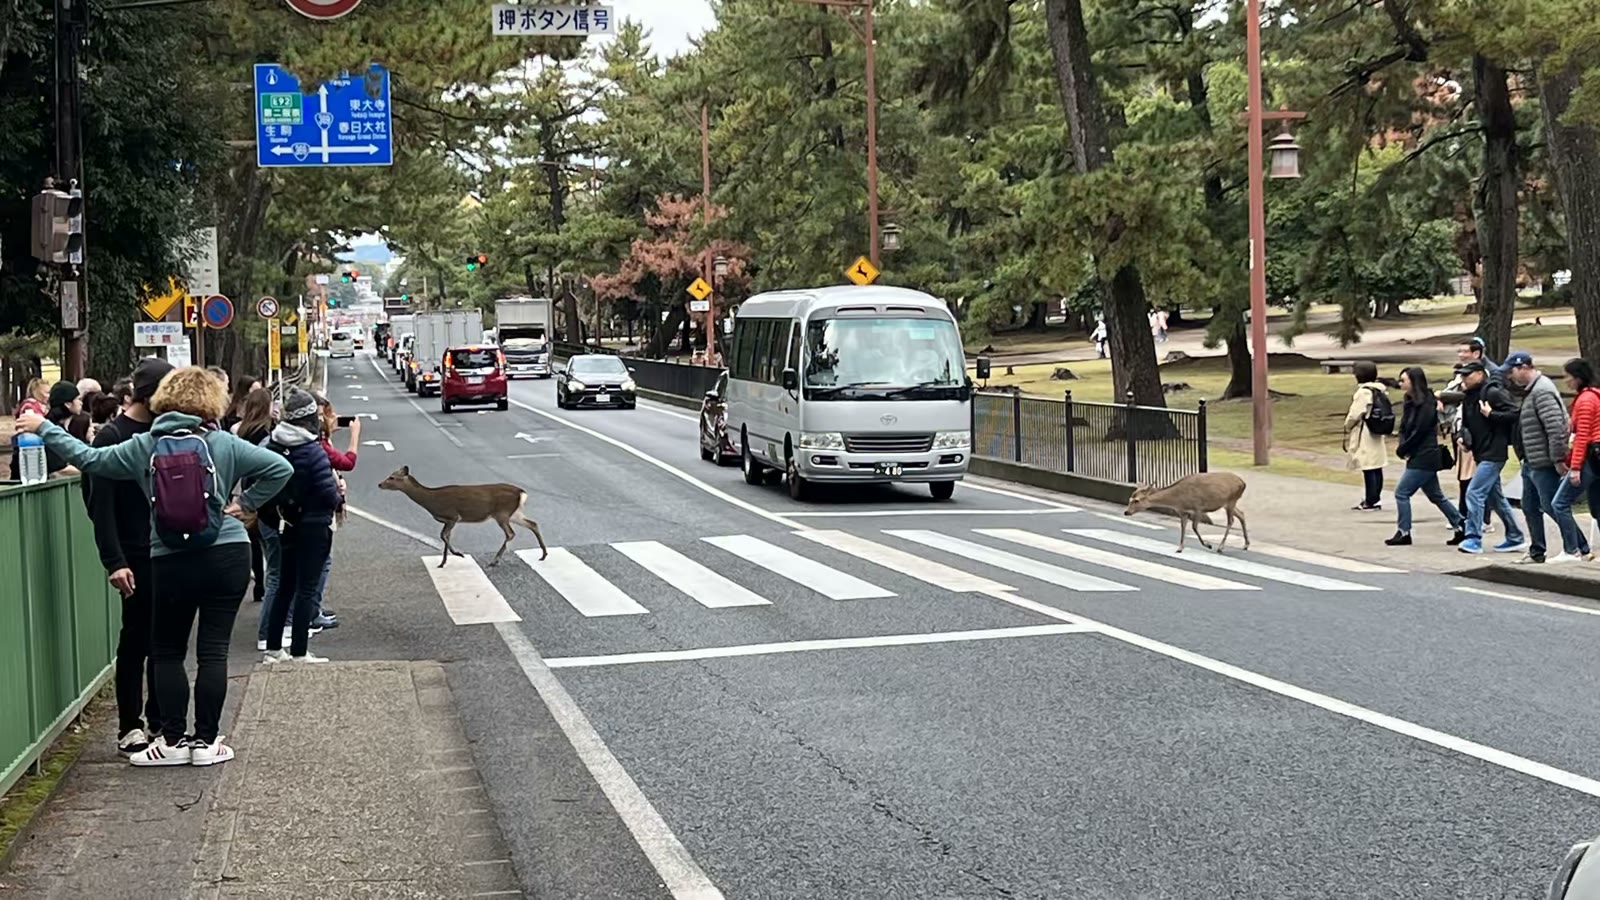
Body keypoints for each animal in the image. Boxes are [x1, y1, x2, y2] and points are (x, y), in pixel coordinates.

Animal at [379, 466, 549, 568]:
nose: (380, 484)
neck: (431, 501)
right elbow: (445, 536)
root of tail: (522, 492)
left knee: (511, 533)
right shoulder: (448, 520)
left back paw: (494, 561)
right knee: (533, 523)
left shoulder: (453, 516)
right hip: (513, 513)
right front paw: (443, 563)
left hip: (502, 513)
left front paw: (457, 554)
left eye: (392, 477)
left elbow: (443, 535)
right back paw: (543, 555)